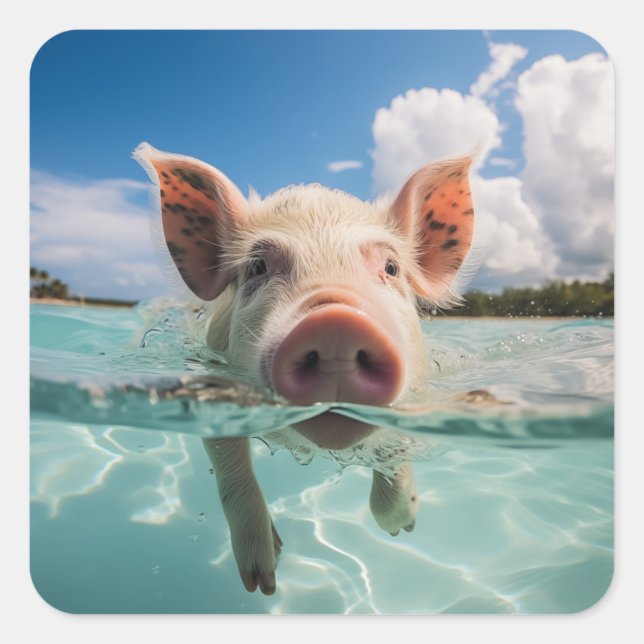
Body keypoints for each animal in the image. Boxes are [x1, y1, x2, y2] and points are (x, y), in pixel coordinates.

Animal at [134, 142, 475, 595]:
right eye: (257, 268)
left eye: (391, 268)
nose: (336, 323)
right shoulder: (211, 386)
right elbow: (230, 468)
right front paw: (262, 581)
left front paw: (402, 527)